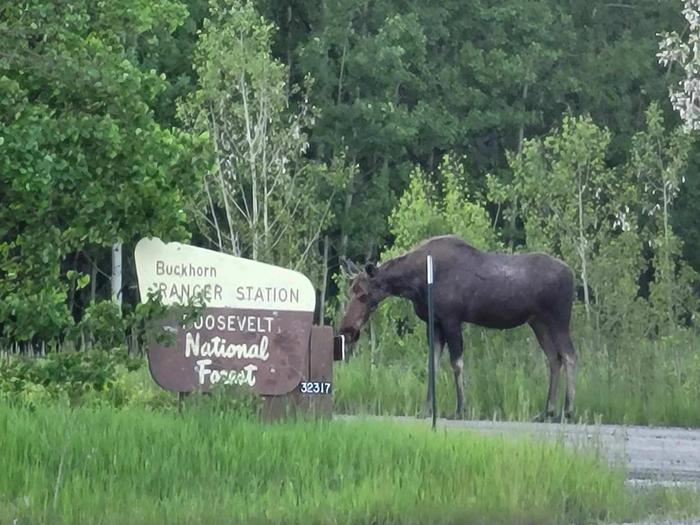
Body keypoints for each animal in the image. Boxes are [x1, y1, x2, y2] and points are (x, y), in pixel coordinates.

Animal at [338, 235, 576, 420]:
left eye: (363, 295)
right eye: (350, 291)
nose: (346, 329)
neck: (413, 284)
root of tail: (572, 275)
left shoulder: (452, 319)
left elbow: (456, 363)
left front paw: (460, 409)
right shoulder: (434, 322)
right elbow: (432, 364)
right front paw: (426, 409)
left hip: (559, 318)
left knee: (569, 355)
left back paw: (568, 410)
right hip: (538, 322)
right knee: (554, 358)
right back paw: (547, 411)